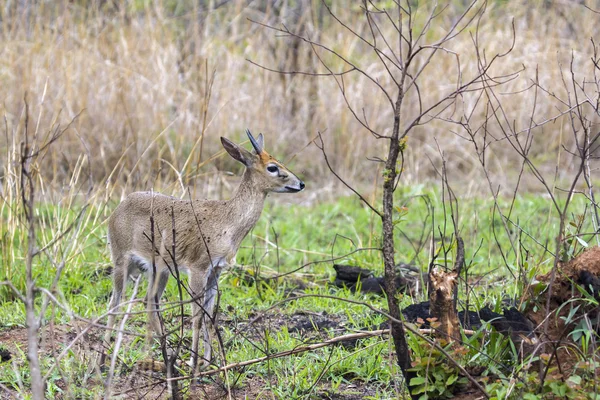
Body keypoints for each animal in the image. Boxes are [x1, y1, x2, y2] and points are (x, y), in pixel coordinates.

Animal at [102, 131, 304, 368]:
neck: (228, 221)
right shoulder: (198, 269)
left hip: (158, 270)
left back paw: (161, 357)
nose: (300, 184)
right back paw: (104, 358)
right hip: (121, 262)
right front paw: (194, 362)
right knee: (115, 303)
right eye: (272, 167)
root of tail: (120, 206)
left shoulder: (216, 270)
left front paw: (208, 362)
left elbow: (209, 316)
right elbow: (197, 317)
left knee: (150, 302)